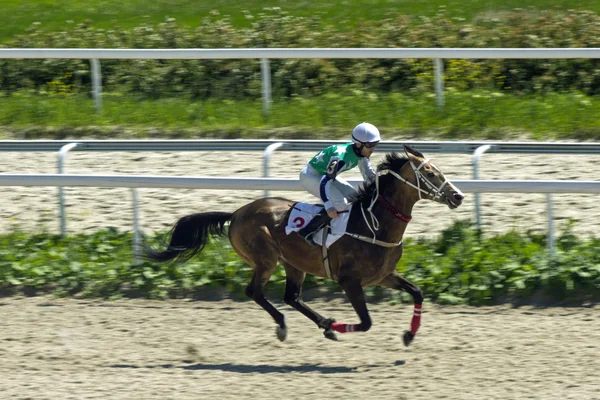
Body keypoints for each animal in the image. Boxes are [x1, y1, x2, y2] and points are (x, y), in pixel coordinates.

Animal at [145, 145, 464, 346]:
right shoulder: (350, 281)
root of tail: (236, 214)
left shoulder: (383, 276)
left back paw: (319, 324)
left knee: (291, 297)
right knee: (255, 292)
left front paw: (409, 335)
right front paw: (335, 326)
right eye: (430, 174)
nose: (458, 196)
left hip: (293, 263)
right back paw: (289, 326)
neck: (374, 223)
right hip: (265, 259)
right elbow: (365, 322)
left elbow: (418, 292)